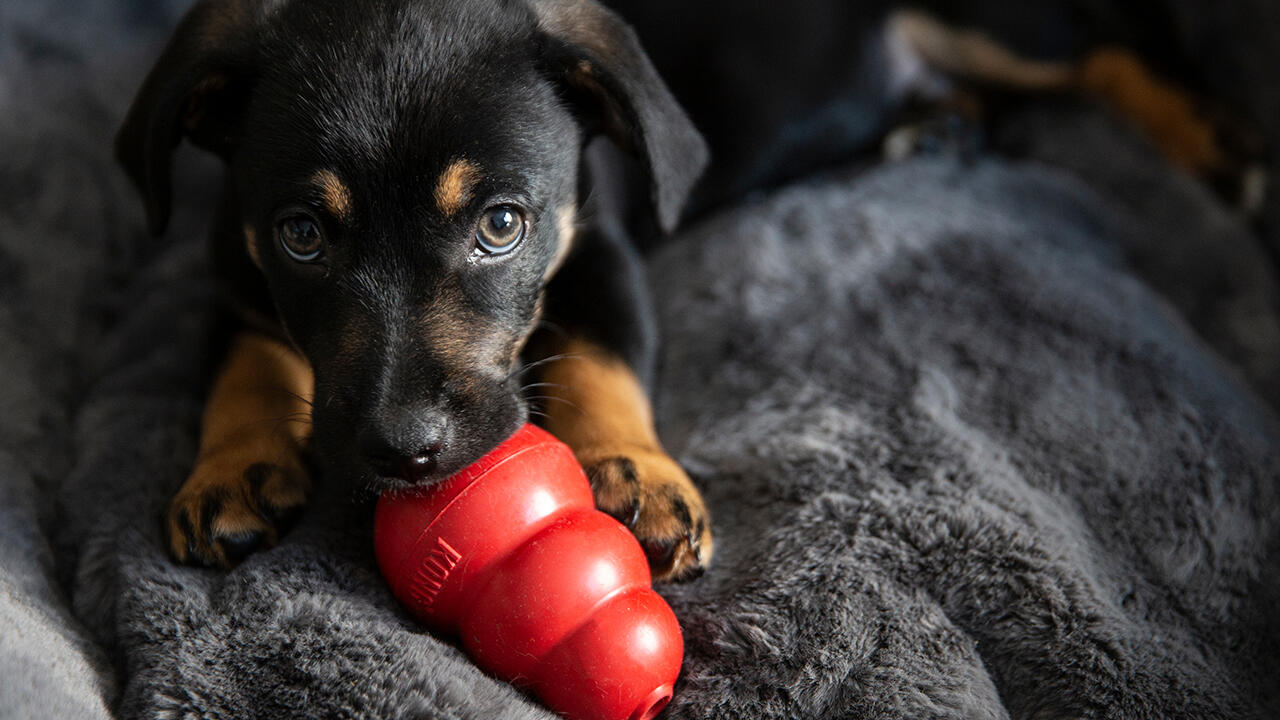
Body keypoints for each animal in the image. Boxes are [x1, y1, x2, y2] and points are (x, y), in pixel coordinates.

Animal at [116, 0, 716, 579]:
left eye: (501, 224)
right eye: (301, 235)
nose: (404, 452)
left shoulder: (602, 254)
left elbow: (601, 360)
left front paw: (636, 471)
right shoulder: (235, 273)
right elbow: (245, 367)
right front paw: (230, 470)